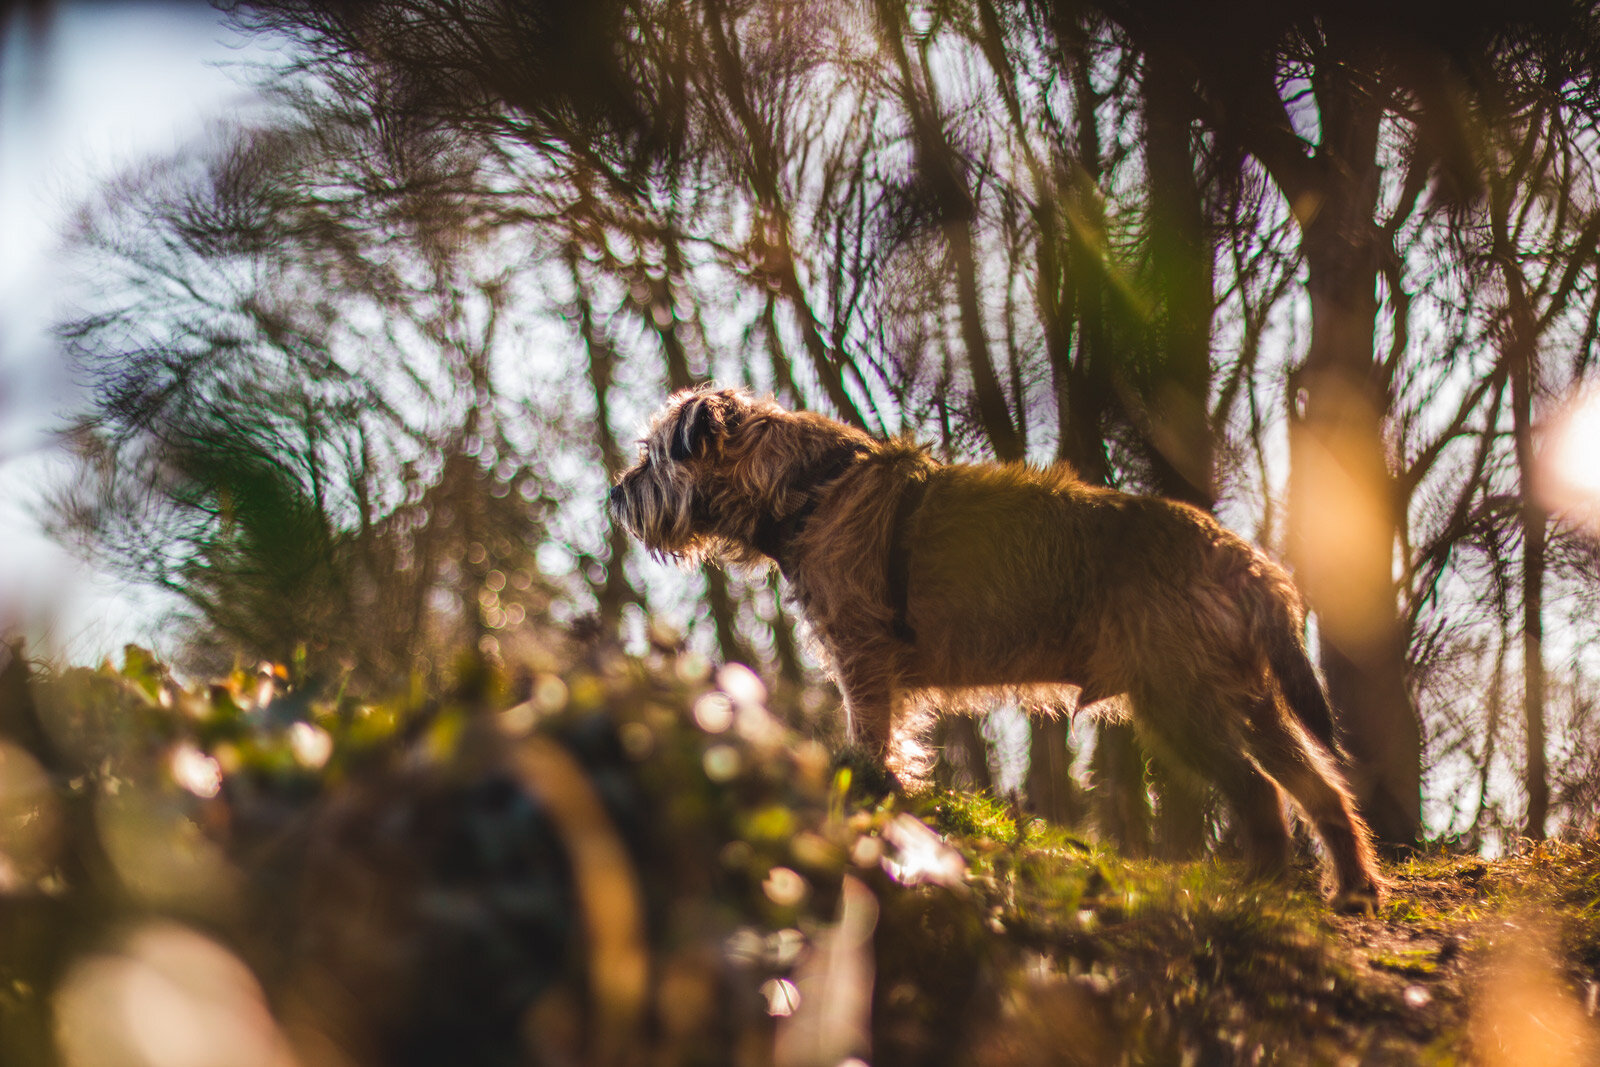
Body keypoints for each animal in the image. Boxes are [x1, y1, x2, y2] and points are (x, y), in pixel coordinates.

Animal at [611, 385, 1388, 908]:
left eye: (653, 458)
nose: (615, 495)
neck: (805, 486)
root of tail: (1244, 559)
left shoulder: (863, 656)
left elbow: (871, 733)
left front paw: (871, 784)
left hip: (1180, 703)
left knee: (1261, 792)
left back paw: (1260, 889)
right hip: (1251, 703)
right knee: (1321, 789)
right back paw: (1353, 886)